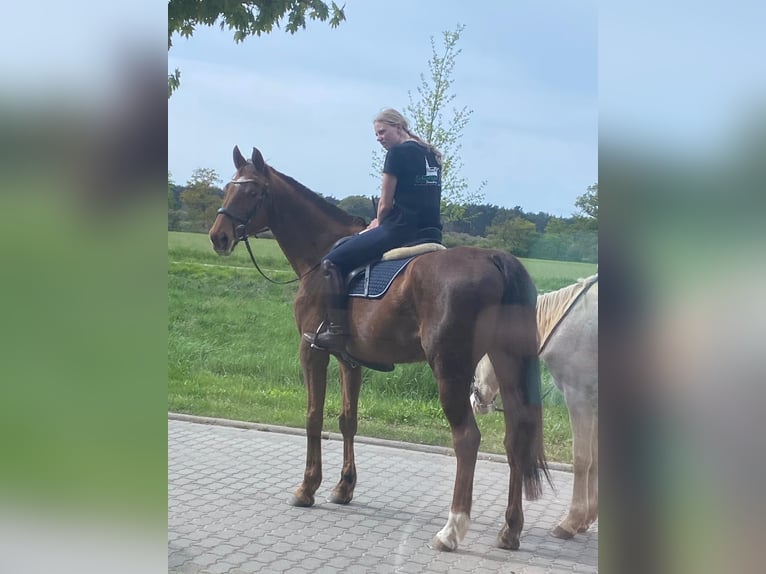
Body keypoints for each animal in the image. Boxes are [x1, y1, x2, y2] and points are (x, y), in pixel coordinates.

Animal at [207, 146, 548, 552]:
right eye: (229, 187)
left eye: (253, 191)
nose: (218, 236)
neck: (320, 257)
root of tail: (495, 258)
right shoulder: (350, 361)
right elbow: (347, 420)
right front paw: (343, 487)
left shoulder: (312, 350)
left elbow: (313, 416)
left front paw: (307, 487)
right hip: (506, 364)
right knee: (516, 437)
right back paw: (510, 530)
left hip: (450, 369)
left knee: (467, 439)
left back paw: (451, 529)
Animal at [474, 274, 600, 540]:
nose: (476, 399)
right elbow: (595, 460)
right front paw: (586, 518)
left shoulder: (579, 398)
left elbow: (582, 459)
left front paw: (571, 521)